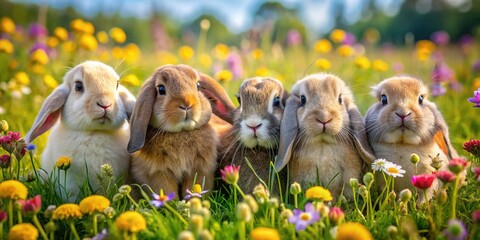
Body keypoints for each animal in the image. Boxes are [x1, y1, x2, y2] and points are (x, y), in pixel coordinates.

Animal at [127, 64, 218, 200]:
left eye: (198, 86)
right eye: (161, 89)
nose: (187, 103)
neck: (181, 133)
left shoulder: (199, 170)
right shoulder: (159, 173)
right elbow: (167, 191)